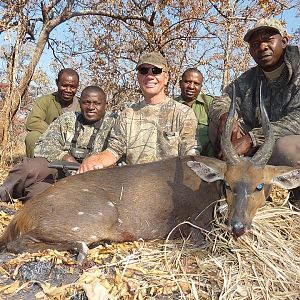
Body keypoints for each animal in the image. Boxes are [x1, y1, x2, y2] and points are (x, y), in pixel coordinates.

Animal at [0, 82, 300, 260]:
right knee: (18, 243)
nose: (237, 226)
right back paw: (81, 250)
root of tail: (21, 217)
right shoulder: (194, 228)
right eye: (227, 183)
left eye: (259, 185)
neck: (208, 187)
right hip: (97, 217)